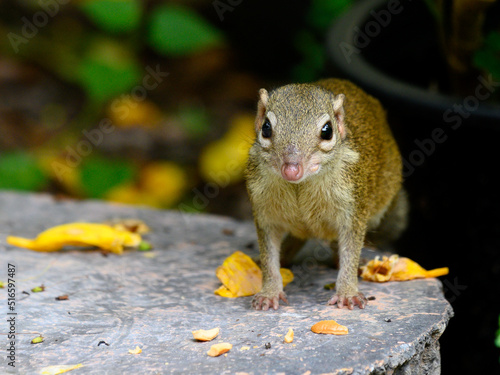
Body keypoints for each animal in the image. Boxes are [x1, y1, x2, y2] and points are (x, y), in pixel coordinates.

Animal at [245, 78, 406, 312]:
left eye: (327, 131)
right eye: (266, 128)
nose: (291, 169)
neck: (300, 187)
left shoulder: (353, 209)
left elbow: (350, 250)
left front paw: (347, 292)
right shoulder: (265, 212)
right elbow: (269, 257)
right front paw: (269, 292)